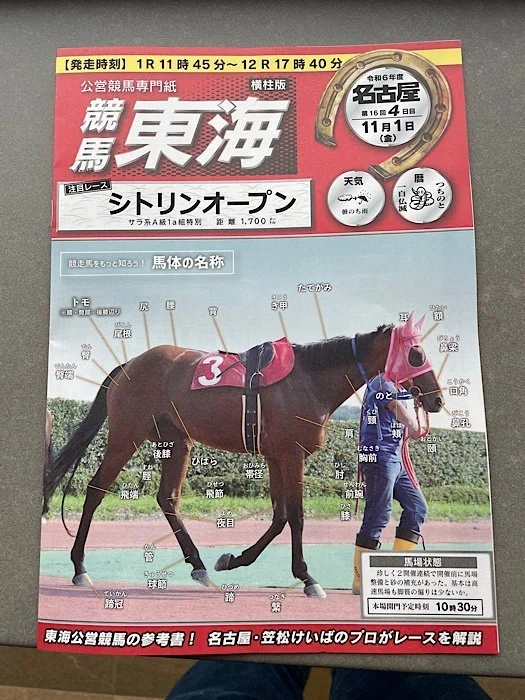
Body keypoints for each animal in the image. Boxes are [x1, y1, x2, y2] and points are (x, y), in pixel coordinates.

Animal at [44, 317, 443, 599]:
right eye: (417, 354)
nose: (437, 399)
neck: (309, 380)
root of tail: (127, 365)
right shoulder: (292, 455)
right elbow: (296, 516)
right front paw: (307, 577)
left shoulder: (275, 456)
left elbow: (280, 516)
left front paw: (233, 559)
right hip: (126, 435)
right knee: (95, 491)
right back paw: (79, 567)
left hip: (177, 441)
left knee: (167, 498)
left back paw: (199, 565)